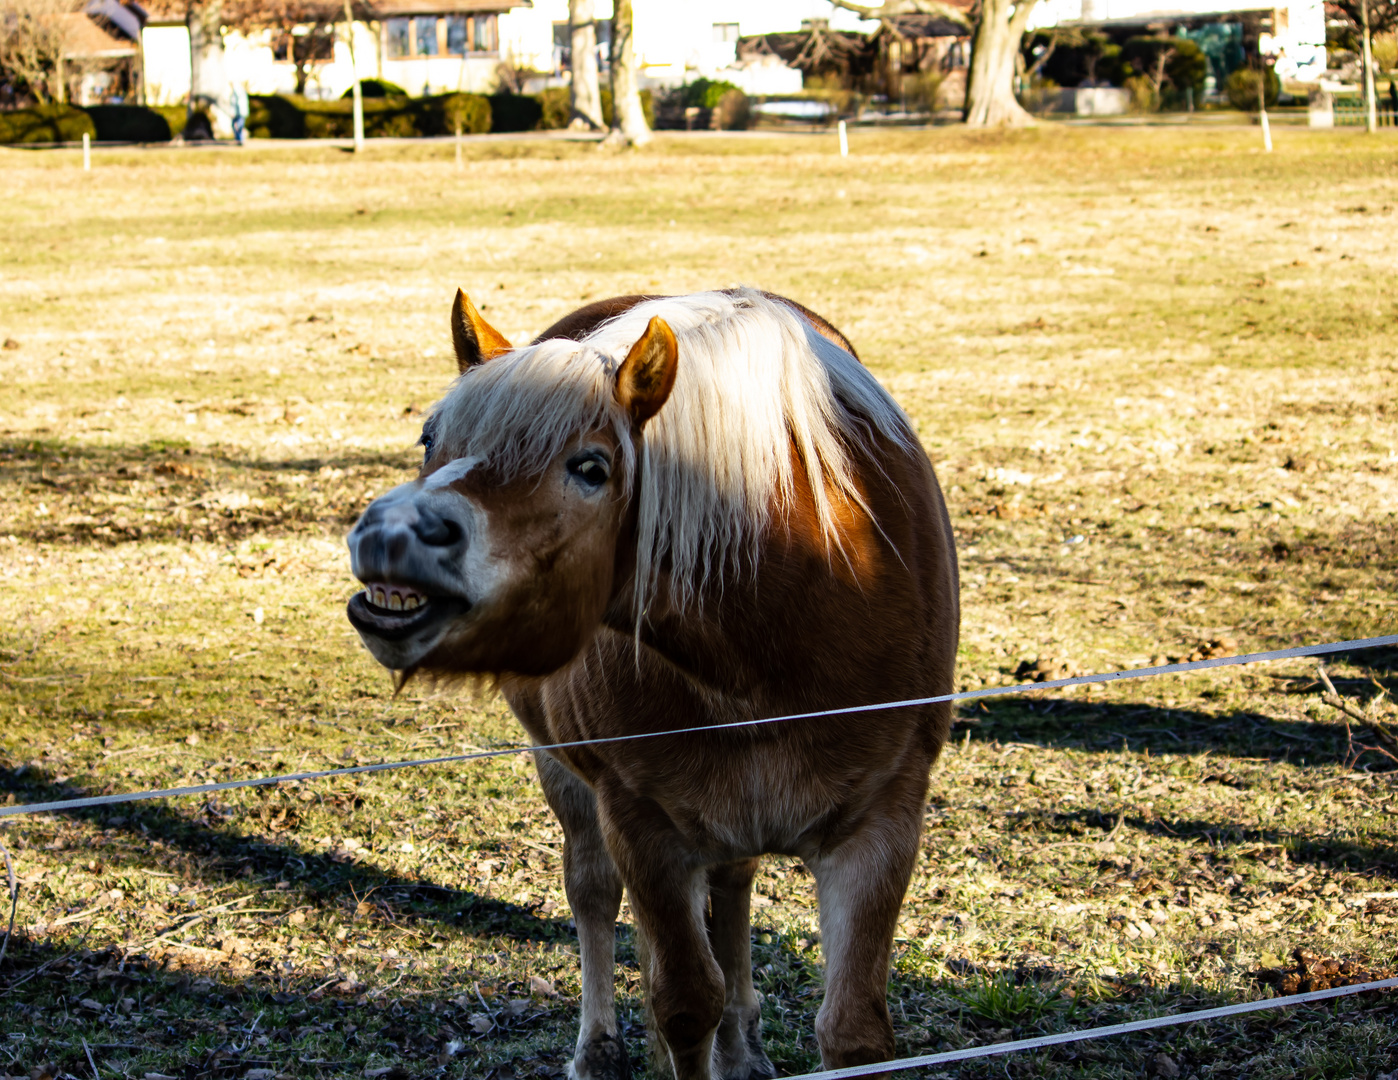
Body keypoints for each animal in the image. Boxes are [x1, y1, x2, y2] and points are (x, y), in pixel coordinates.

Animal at [346, 286, 961, 1078]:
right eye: (430, 442)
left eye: (591, 467)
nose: (391, 534)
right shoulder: (643, 825)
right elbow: (685, 1002)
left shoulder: (884, 819)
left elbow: (853, 1031)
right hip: (566, 774)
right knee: (593, 892)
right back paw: (600, 1049)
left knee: (732, 889)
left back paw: (744, 1047)